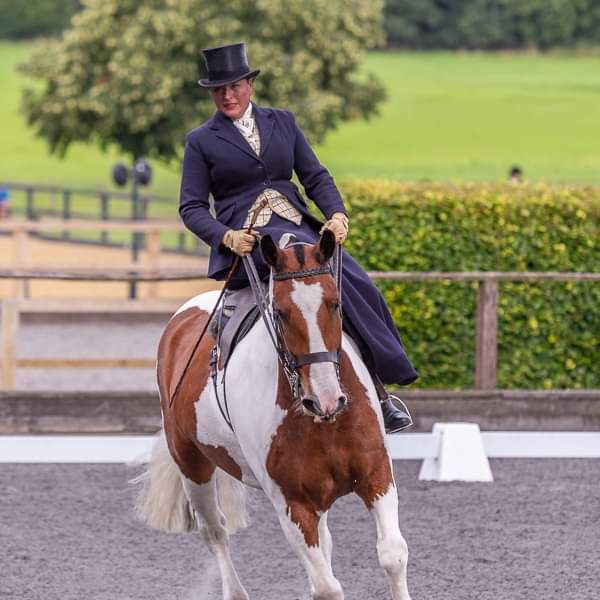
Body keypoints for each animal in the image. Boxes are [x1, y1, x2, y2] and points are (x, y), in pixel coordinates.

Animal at [134, 231, 410, 600]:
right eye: (280, 312)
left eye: (336, 304)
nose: (326, 399)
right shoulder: (292, 502)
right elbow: (327, 587)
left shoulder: (376, 475)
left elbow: (392, 555)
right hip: (192, 465)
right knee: (215, 532)